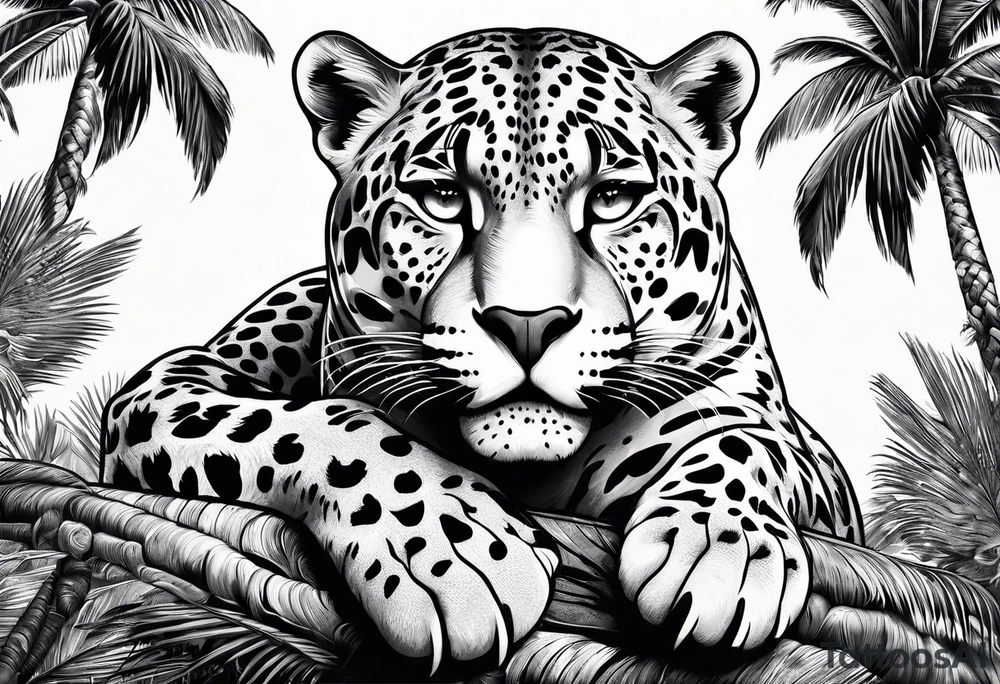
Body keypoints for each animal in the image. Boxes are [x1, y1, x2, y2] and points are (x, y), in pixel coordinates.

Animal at [100, 27, 863, 674]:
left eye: (613, 197)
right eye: (441, 196)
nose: (527, 324)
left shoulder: (778, 435)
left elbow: (748, 440)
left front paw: (723, 550)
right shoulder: (166, 387)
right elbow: (325, 424)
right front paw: (453, 554)